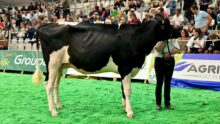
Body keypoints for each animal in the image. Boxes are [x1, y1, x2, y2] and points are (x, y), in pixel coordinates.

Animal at [32, 15, 180, 118]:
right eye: (166, 25)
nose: (179, 31)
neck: (137, 39)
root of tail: (46, 25)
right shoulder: (126, 67)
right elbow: (127, 91)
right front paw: (130, 112)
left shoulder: (124, 70)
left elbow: (123, 90)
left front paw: (124, 108)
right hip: (52, 63)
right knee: (49, 85)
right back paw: (53, 111)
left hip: (61, 65)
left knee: (56, 85)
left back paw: (58, 106)